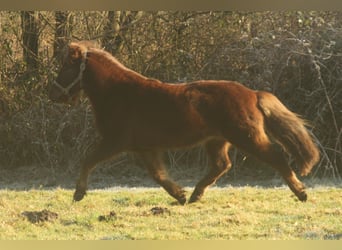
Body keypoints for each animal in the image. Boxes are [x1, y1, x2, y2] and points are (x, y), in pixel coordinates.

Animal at [49, 41, 320, 205]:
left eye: (66, 67)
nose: (53, 95)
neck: (119, 94)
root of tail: (253, 94)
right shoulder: (145, 147)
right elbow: (158, 174)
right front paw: (180, 194)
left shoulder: (115, 141)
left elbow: (88, 160)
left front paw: (78, 193)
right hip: (217, 140)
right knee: (221, 165)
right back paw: (195, 195)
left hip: (247, 137)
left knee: (276, 157)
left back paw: (301, 192)